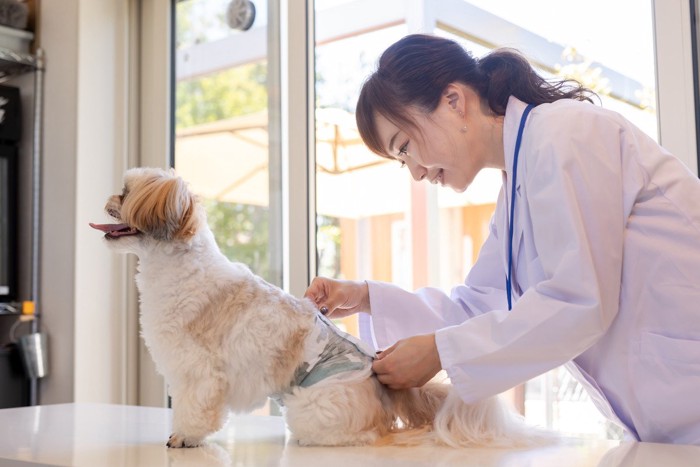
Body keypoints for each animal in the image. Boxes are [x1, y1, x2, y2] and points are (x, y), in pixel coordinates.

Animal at [91, 168, 548, 450]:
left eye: (126, 194)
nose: (107, 198)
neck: (177, 269)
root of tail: (379, 381)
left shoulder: (198, 372)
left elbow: (195, 408)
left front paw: (185, 437)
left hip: (311, 407)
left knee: (364, 432)